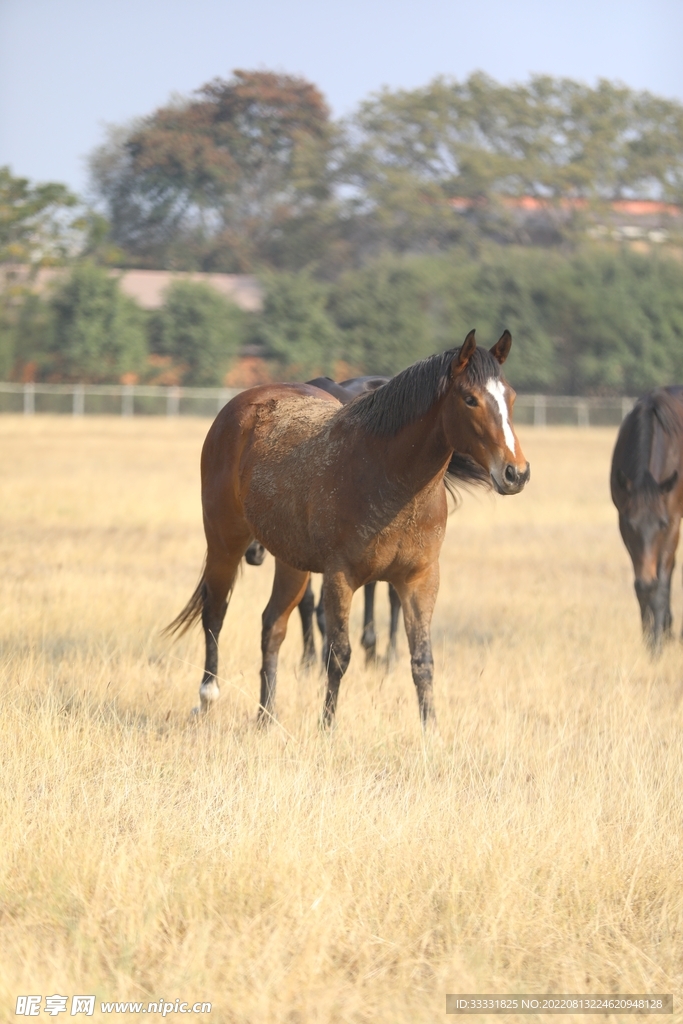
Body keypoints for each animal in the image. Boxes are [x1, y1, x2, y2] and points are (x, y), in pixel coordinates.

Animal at [166, 330, 529, 729]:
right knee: (215, 612)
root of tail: (240, 405)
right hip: (224, 542)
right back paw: (208, 696)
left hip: (290, 563)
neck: (388, 474)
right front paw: (327, 728)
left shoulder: (420, 579)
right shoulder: (341, 576)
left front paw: (430, 729)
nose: (516, 472)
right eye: (470, 399)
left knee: (273, 626)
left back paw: (266, 716)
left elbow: (422, 660)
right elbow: (338, 655)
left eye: (511, 396)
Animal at [610, 386, 683, 649]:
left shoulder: (673, 522)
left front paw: (657, 646)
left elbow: (660, 583)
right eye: (631, 525)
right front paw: (651, 638)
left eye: (661, 524)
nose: (646, 581)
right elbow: (644, 588)